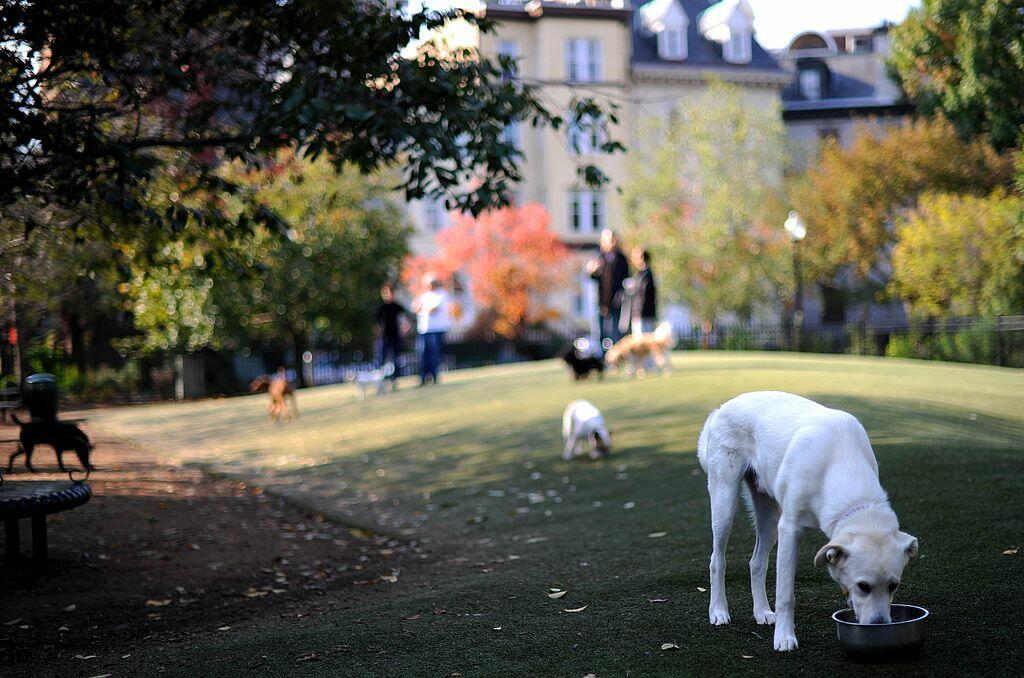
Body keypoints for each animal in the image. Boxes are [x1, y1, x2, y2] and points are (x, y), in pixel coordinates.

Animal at [696, 393, 921, 655]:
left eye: (893, 586)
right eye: (863, 586)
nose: (880, 625)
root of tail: (724, 406)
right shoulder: (789, 529)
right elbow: (786, 595)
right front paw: (784, 638)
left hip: (769, 517)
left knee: (756, 562)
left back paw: (762, 612)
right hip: (725, 503)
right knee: (717, 559)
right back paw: (718, 611)